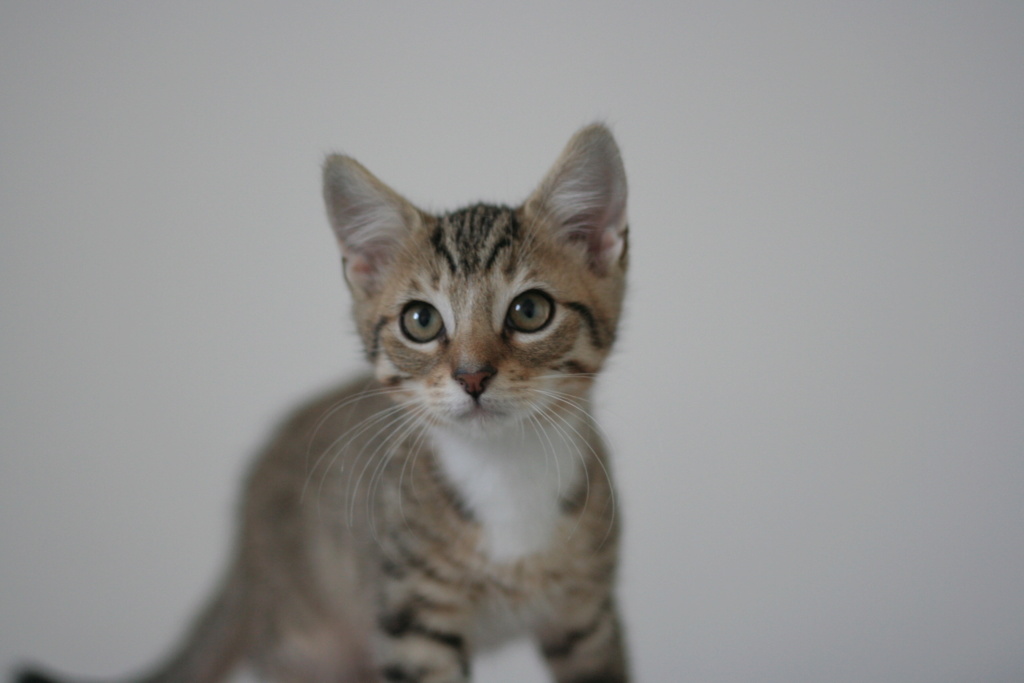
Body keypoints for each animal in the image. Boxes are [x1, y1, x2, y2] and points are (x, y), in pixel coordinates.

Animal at [19, 124, 630, 683]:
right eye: (421, 320)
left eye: (530, 311)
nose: (472, 375)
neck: (505, 473)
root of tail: (244, 546)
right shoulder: (411, 619)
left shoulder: (590, 618)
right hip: (309, 643)